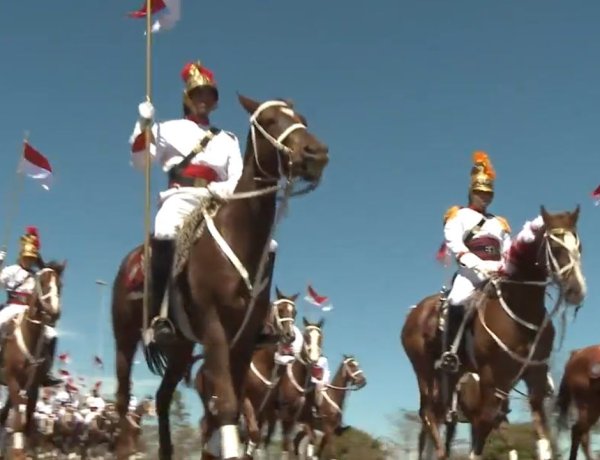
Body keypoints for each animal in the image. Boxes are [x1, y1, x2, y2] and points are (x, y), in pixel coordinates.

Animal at [0, 260, 66, 458]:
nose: (54, 312)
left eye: (60, 285)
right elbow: (18, 421)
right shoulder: (12, 379)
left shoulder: (33, 385)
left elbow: (28, 420)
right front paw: (18, 452)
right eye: (42, 282)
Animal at [112, 94, 328, 460]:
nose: (317, 153)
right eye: (269, 121)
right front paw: (146, 117)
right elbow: (226, 407)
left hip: (182, 349)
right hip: (125, 341)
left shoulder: (242, 339)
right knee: (123, 395)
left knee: (163, 397)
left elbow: (233, 412)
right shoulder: (214, 329)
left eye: (302, 118)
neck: (239, 236)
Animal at [400, 207, 584, 458]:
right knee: (428, 414)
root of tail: (415, 311)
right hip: (424, 371)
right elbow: (482, 432)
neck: (522, 311)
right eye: (555, 248)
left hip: (450, 375)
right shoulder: (492, 378)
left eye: (579, 246)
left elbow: (542, 433)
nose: (576, 290)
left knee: (437, 417)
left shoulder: (535, 378)